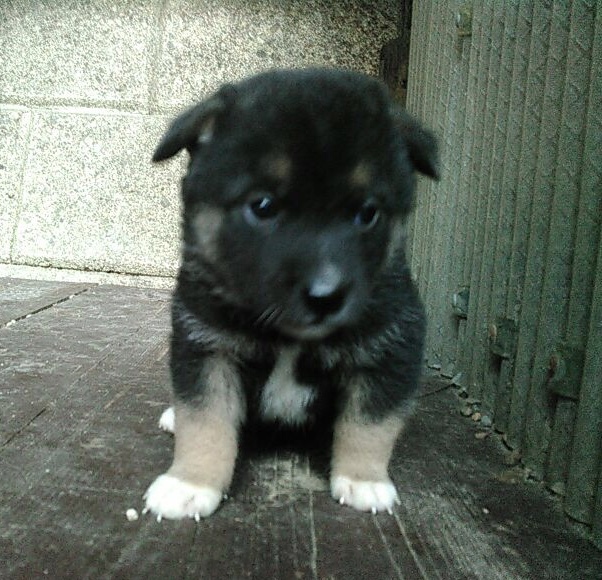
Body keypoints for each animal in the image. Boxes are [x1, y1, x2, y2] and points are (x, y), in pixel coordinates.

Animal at [143, 68, 438, 521]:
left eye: (368, 212)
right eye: (263, 205)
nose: (325, 295)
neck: (289, 337)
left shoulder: (390, 347)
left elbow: (370, 424)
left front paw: (364, 480)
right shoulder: (207, 347)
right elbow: (205, 420)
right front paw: (190, 483)